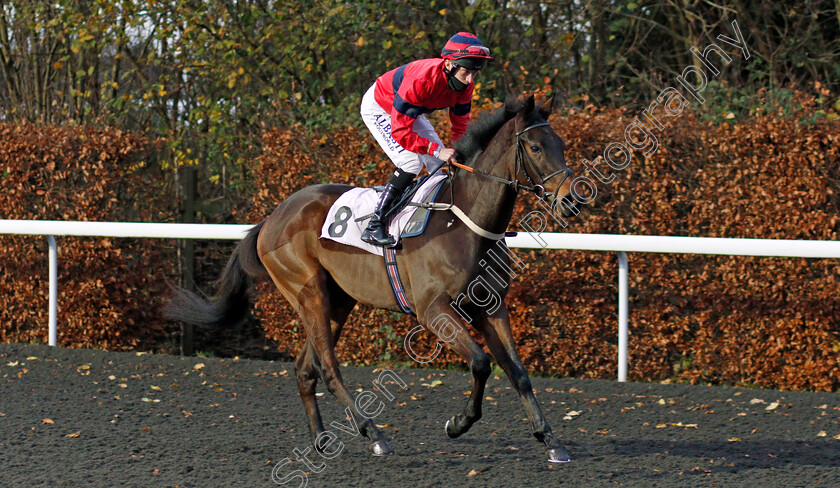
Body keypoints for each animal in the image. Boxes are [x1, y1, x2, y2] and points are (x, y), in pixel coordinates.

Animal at [167, 93, 580, 464]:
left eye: (560, 144)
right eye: (535, 147)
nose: (572, 200)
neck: (464, 222)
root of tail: (270, 219)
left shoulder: (490, 306)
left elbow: (517, 372)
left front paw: (551, 440)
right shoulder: (433, 311)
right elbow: (480, 363)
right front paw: (458, 423)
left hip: (337, 300)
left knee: (305, 369)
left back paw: (322, 441)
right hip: (309, 292)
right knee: (327, 368)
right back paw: (374, 434)